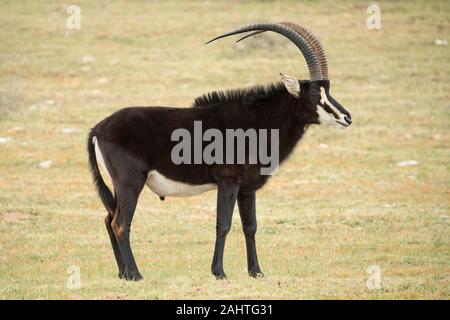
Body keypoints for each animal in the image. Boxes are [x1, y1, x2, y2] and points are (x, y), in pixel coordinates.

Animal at [87, 21, 352, 280]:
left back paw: (122, 273)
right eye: (315, 92)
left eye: (328, 89)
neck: (257, 120)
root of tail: (98, 128)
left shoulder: (247, 187)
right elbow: (223, 224)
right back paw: (135, 274)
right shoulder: (228, 182)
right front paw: (219, 272)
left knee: (109, 219)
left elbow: (250, 226)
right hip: (131, 182)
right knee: (120, 223)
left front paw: (256, 271)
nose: (347, 117)